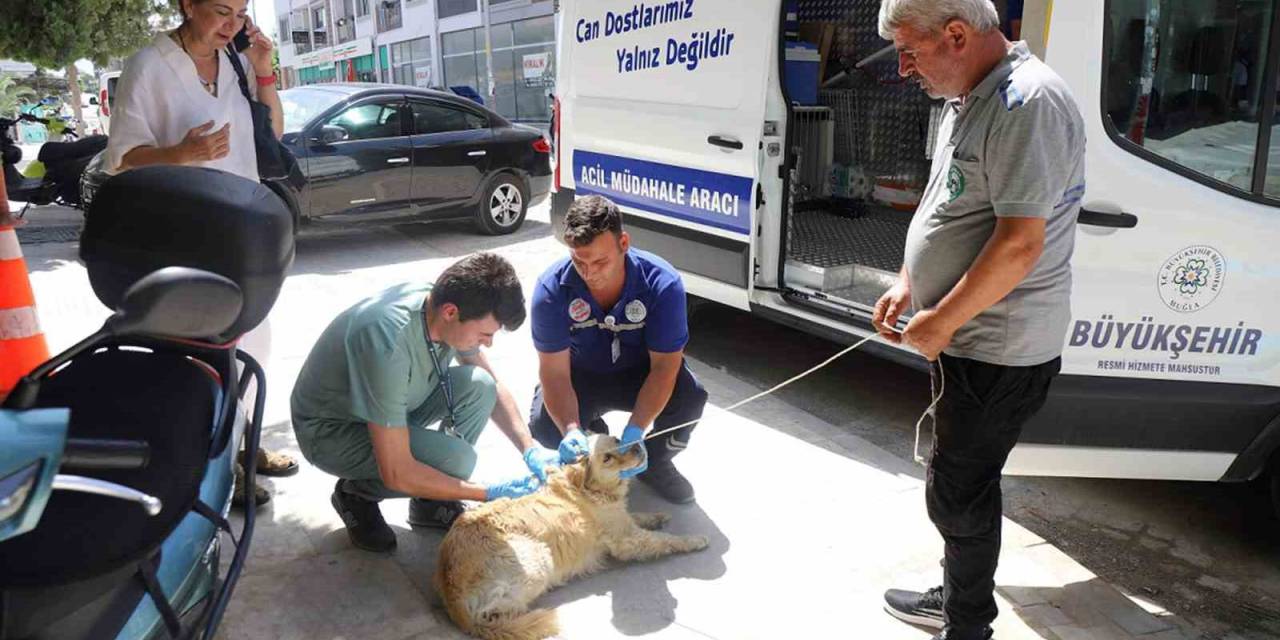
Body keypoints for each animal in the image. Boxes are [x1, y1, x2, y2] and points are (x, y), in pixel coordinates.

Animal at [435, 432, 706, 637]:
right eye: (607, 458)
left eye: (618, 439)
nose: (638, 447)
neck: (588, 488)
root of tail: (451, 592)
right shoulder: (626, 540)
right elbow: (665, 540)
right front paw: (694, 540)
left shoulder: (622, 520)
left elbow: (638, 517)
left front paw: (657, 517)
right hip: (538, 559)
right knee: (495, 613)